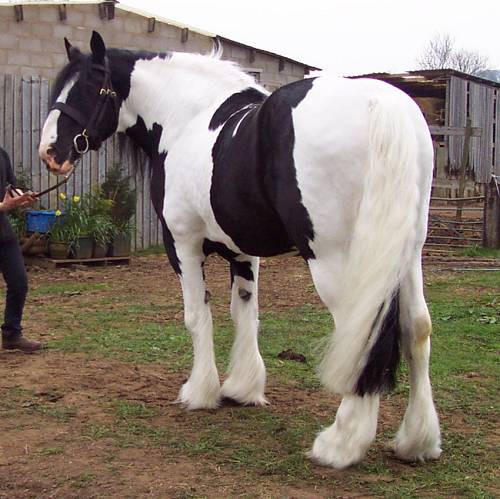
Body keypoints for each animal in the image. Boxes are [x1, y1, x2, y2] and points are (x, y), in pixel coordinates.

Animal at [39, 31, 440, 468]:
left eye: (90, 86)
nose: (50, 152)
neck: (186, 119)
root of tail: (380, 104)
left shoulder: (182, 244)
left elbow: (198, 316)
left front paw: (200, 392)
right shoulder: (244, 252)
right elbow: (244, 312)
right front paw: (243, 388)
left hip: (338, 260)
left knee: (363, 330)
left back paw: (340, 443)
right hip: (404, 254)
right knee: (417, 328)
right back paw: (417, 441)